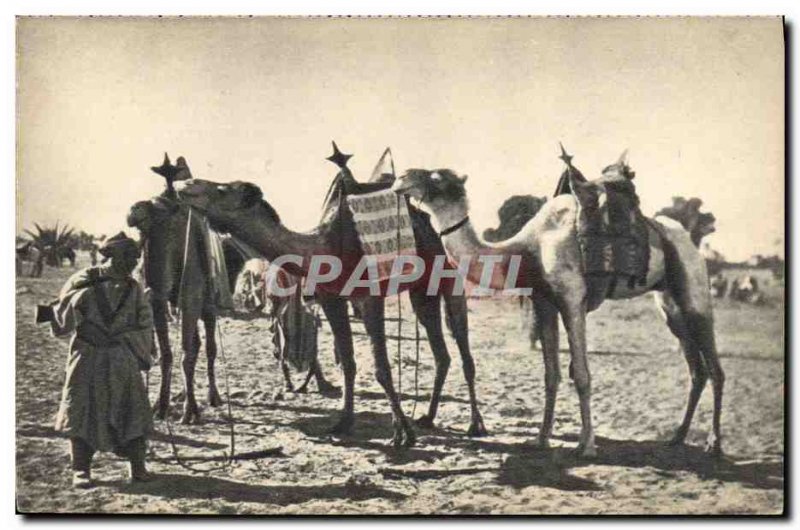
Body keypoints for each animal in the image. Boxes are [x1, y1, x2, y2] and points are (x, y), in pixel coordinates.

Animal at [390, 159, 724, 456]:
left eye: (436, 177)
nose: (401, 177)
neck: (528, 250)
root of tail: (687, 239)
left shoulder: (571, 300)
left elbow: (582, 375)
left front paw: (586, 446)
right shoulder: (544, 303)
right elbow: (551, 374)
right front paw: (540, 439)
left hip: (694, 292)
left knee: (715, 368)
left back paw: (714, 444)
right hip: (670, 306)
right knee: (697, 370)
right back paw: (677, 437)